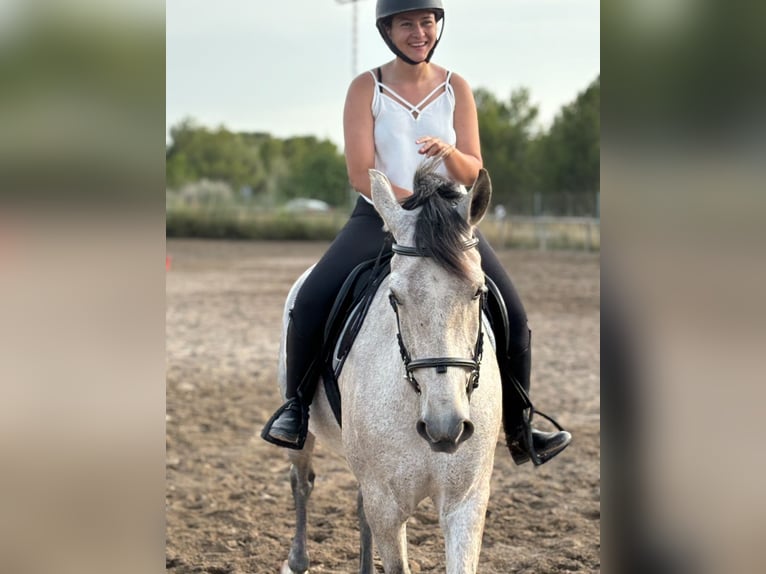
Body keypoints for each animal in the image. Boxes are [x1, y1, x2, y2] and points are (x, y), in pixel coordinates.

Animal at [276, 166, 504, 574]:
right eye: (395, 297)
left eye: (479, 292)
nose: (445, 426)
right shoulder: (386, 503)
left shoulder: (466, 502)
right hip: (305, 436)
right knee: (302, 481)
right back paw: (297, 559)